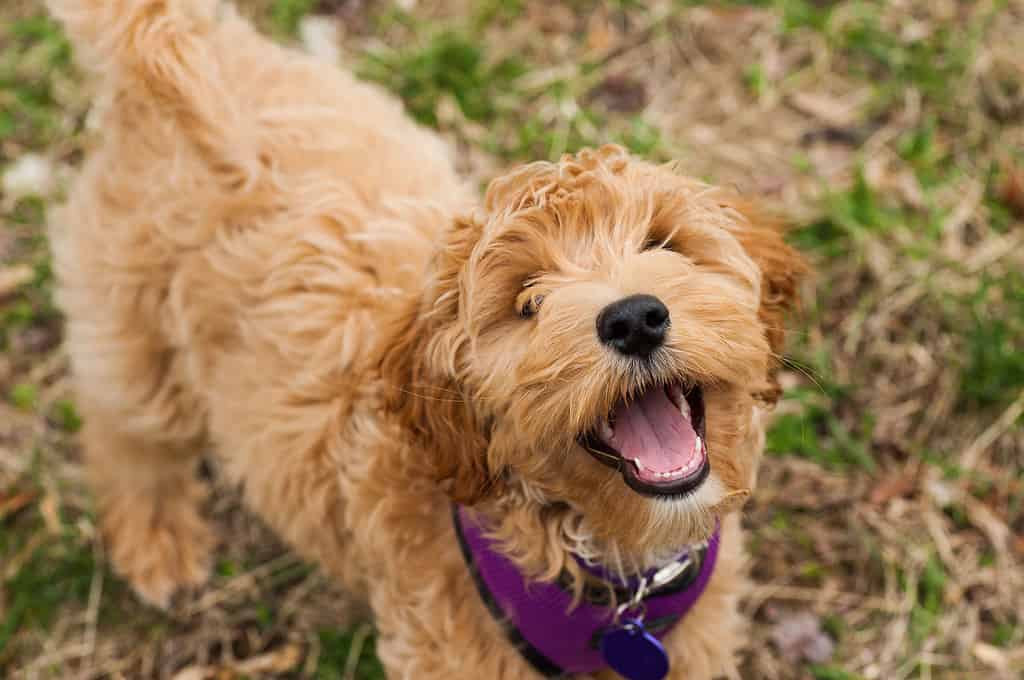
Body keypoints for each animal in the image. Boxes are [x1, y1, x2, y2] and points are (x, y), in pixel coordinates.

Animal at [49, 2, 806, 675]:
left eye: (665, 244)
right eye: (527, 301)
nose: (635, 318)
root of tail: (171, 48)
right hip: (134, 332)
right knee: (124, 432)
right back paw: (159, 543)